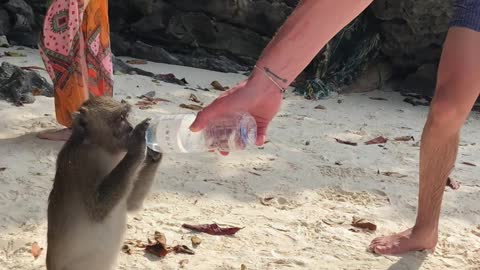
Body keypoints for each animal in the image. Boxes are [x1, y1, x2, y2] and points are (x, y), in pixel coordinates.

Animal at [47, 97, 163, 270]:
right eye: (120, 119)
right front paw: (138, 142)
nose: (130, 128)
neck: (99, 146)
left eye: (125, 116)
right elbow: (98, 208)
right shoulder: (81, 161)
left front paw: (154, 153)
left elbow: (132, 205)